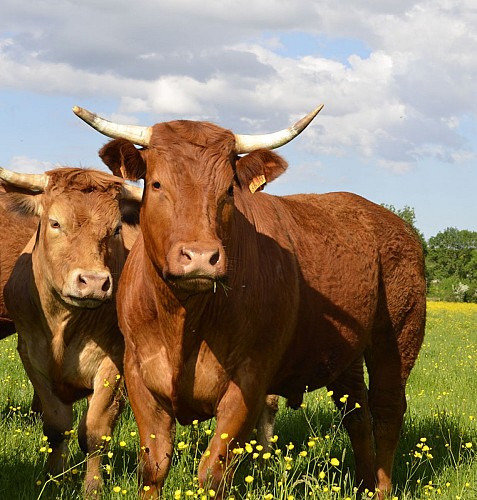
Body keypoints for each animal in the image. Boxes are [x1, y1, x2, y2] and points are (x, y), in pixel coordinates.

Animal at [0, 166, 141, 494]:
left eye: (116, 229)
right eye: (55, 223)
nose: (93, 282)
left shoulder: (112, 363)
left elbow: (94, 431)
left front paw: (92, 488)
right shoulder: (32, 356)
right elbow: (56, 425)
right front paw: (54, 479)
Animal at [75, 103, 428, 498]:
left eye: (229, 189)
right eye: (156, 184)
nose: (201, 257)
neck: (184, 320)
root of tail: (389, 221)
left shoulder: (249, 381)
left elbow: (214, 472)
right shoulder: (138, 374)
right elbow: (153, 466)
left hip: (398, 334)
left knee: (387, 409)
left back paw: (381, 487)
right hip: (345, 353)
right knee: (357, 412)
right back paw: (365, 484)